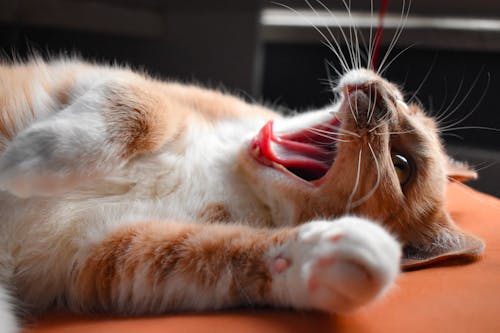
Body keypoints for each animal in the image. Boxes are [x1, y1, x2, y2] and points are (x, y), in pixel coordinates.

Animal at [0, 57, 484, 332]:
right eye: (407, 101)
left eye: (402, 166)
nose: (380, 88)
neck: (227, 166)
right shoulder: (113, 81)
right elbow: (135, 108)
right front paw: (25, 158)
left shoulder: (106, 251)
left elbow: (225, 253)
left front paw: (332, 253)